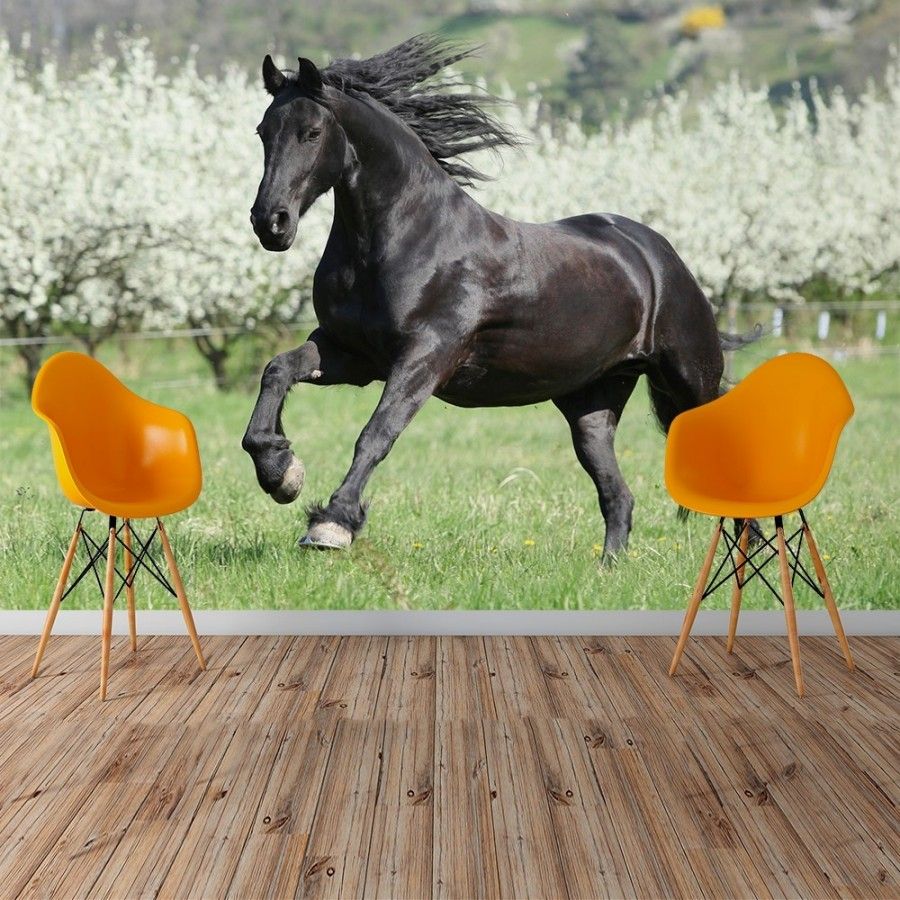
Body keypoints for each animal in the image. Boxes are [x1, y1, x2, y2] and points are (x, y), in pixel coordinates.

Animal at [242, 36, 756, 559]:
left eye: (311, 132)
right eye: (264, 131)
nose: (270, 223)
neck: (407, 237)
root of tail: (659, 255)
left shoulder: (425, 356)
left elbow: (376, 433)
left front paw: (332, 524)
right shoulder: (351, 353)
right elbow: (277, 371)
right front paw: (281, 473)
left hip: (690, 378)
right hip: (591, 404)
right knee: (618, 496)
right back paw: (609, 567)